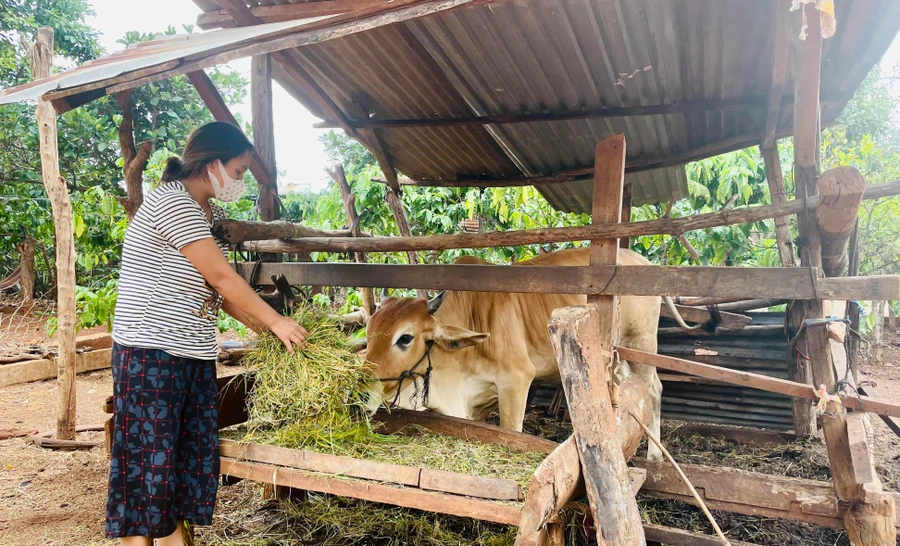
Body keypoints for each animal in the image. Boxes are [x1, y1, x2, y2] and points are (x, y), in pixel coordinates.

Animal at [366, 246, 668, 460]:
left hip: (641, 341)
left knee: (654, 388)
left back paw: (655, 456)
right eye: (367, 331)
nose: (363, 393)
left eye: (405, 338)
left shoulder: (516, 381)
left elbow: (511, 432)